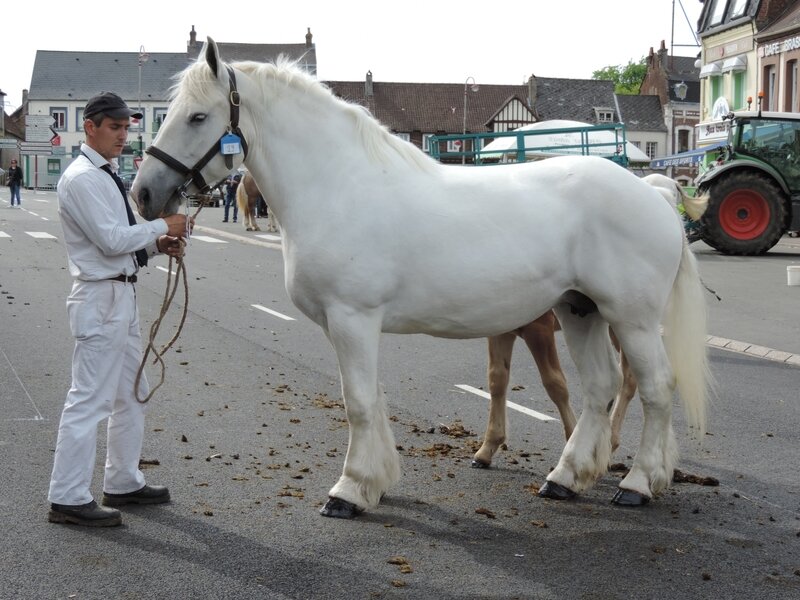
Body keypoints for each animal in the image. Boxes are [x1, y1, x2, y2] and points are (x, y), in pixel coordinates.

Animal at [133, 41, 712, 520]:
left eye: (198, 116)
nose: (143, 193)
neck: (338, 185)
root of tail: (654, 190)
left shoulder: (353, 318)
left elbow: (358, 402)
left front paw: (349, 491)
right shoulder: (346, 326)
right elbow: (370, 397)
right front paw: (377, 481)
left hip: (632, 320)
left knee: (655, 389)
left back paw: (638, 483)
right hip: (579, 310)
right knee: (599, 388)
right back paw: (565, 479)